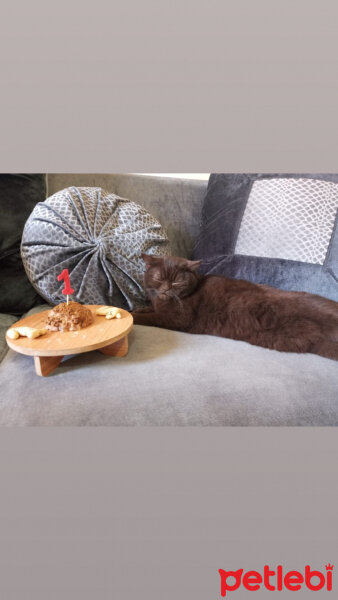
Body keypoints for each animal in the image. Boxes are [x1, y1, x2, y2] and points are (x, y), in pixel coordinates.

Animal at [132, 253, 338, 360]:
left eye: (176, 282)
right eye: (159, 278)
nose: (166, 289)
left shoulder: (177, 318)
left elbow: (148, 317)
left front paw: (134, 313)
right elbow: (149, 310)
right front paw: (140, 308)